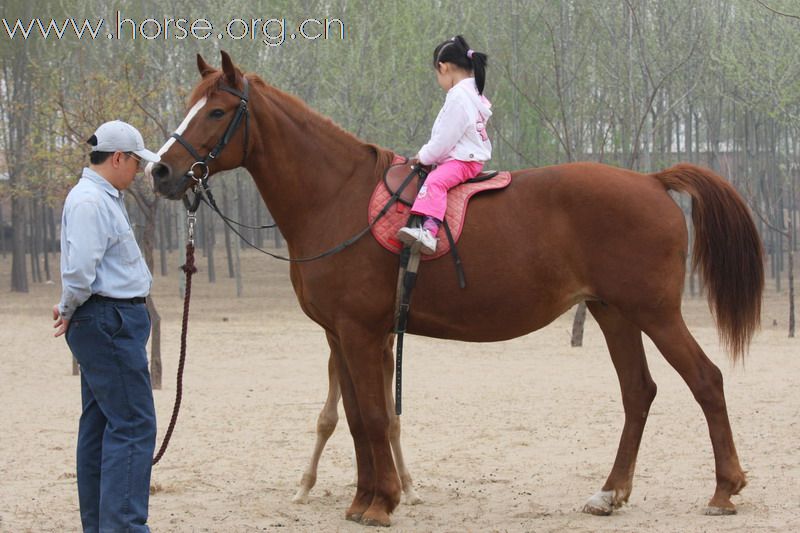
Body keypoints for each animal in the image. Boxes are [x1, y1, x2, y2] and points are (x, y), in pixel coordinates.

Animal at [148, 52, 764, 524]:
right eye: (191, 105)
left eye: (218, 111)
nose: (160, 172)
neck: (337, 197)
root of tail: (651, 181)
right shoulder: (340, 336)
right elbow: (356, 419)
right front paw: (364, 499)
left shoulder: (361, 333)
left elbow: (375, 418)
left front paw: (381, 503)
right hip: (612, 312)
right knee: (638, 393)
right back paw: (610, 492)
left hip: (655, 313)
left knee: (706, 381)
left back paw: (723, 489)